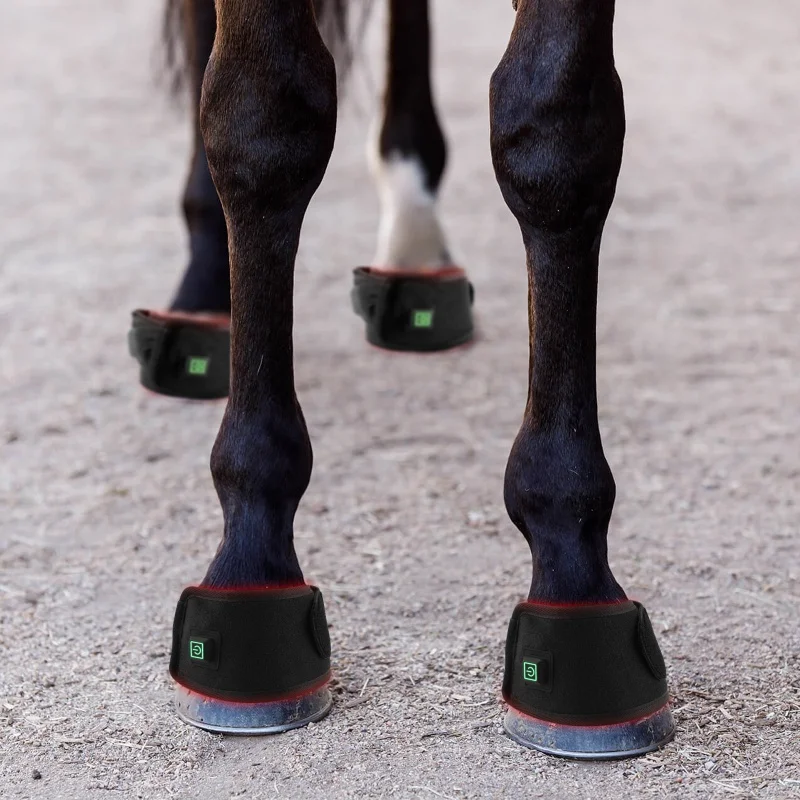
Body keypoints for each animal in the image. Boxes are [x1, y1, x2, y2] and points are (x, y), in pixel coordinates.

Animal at [142, 0, 675, 759]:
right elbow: (261, 118)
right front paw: (250, 559)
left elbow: (557, 132)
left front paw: (573, 569)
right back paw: (202, 293)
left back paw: (416, 248)